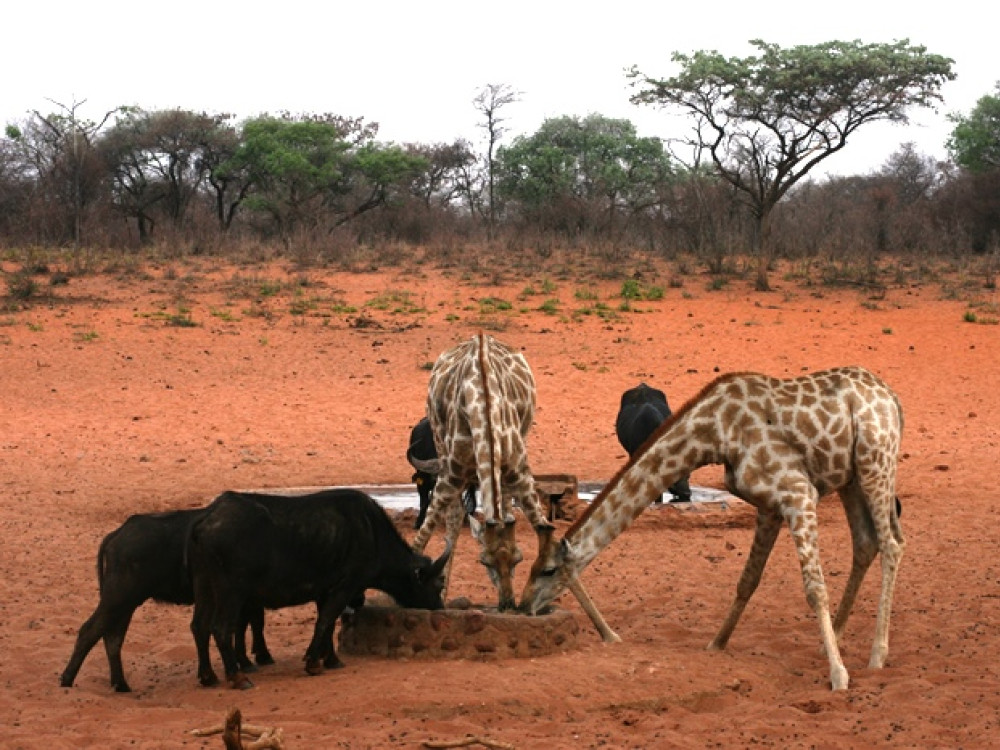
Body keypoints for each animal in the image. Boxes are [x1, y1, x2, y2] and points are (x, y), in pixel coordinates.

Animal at [60, 512, 272, 692]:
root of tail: (117, 534)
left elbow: (249, 623)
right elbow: (248, 624)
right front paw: (254, 659)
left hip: (125, 604)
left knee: (113, 637)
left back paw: (120, 684)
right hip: (118, 598)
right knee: (90, 631)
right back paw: (67, 680)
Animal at [189, 490, 448, 692]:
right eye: (438, 584)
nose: (440, 609)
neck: (371, 533)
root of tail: (206, 520)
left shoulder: (324, 592)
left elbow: (328, 624)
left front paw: (330, 659)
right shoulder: (344, 588)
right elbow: (325, 621)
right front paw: (314, 662)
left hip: (204, 588)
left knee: (199, 626)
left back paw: (208, 676)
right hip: (231, 592)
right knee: (221, 629)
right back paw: (237, 677)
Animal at [412, 338, 620, 644]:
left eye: (519, 559)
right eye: (483, 562)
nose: (508, 605)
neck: (482, 408)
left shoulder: (521, 474)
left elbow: (551, 540)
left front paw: (608, 632)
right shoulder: (449, 476)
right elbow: (423, 537)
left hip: (518, 450)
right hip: (441, 449)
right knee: (453, 519)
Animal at [524, 368, 908, 692]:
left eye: (547, 570)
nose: (525, 605)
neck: (714, 434)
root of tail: (892, 398)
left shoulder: (798, 493)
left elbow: (814, 587)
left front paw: (838, 675)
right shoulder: (769, 505)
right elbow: (747, 580)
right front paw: (716, 643)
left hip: (876, 461)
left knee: (892, 543)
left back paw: (877, 655)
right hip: (851, 477)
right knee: (866, 542)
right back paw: (836, 638)